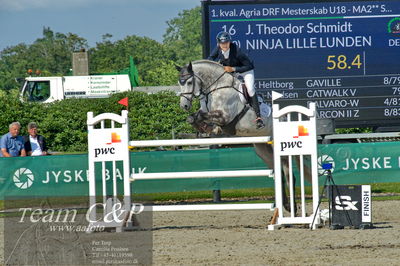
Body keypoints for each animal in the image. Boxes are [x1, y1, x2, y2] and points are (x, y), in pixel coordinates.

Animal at [176, 59, 312, 212]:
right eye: (179, 82)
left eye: (189, 82)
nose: (184, 106)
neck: (217, 88)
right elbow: (194, 117)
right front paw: (205, 128)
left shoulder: (224, 117)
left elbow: (202, 116)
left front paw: (209, 128)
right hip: (263, 151)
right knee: (279, 174)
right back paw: (286, 205)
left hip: (281, 149)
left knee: (289, 175)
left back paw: (293, 208)